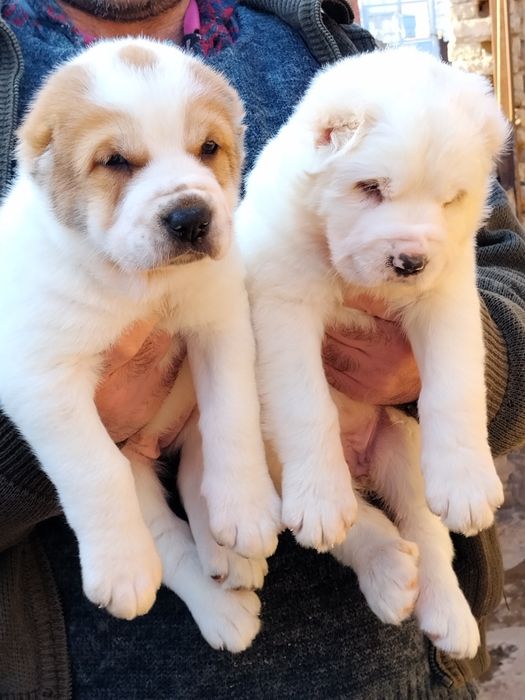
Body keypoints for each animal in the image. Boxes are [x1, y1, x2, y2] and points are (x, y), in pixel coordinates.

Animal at [0, 37, 280, 652]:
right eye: (116, 162)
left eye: (208, 148)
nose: (191, 216)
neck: (141, 286)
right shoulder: (42, 379)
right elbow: (92, 468)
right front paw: (121, 569)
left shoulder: (221, 324)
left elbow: (233, 418)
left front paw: (247, 510)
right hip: (134, 465)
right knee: (168, 542)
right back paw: (218, 608)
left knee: (198, 470)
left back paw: (231, 551)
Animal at [222, 48, 507, 658]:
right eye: (370, 187)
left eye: (451, 200)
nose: (410, 262)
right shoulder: (283, 304)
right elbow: (306, 405)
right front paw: (322, 499)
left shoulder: (448, 296)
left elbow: (455, 386)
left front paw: (468, 481)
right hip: (273, 467)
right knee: (354, 530)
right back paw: (383, 564)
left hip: (403, 443)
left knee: (426, 529)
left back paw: (446, 612)